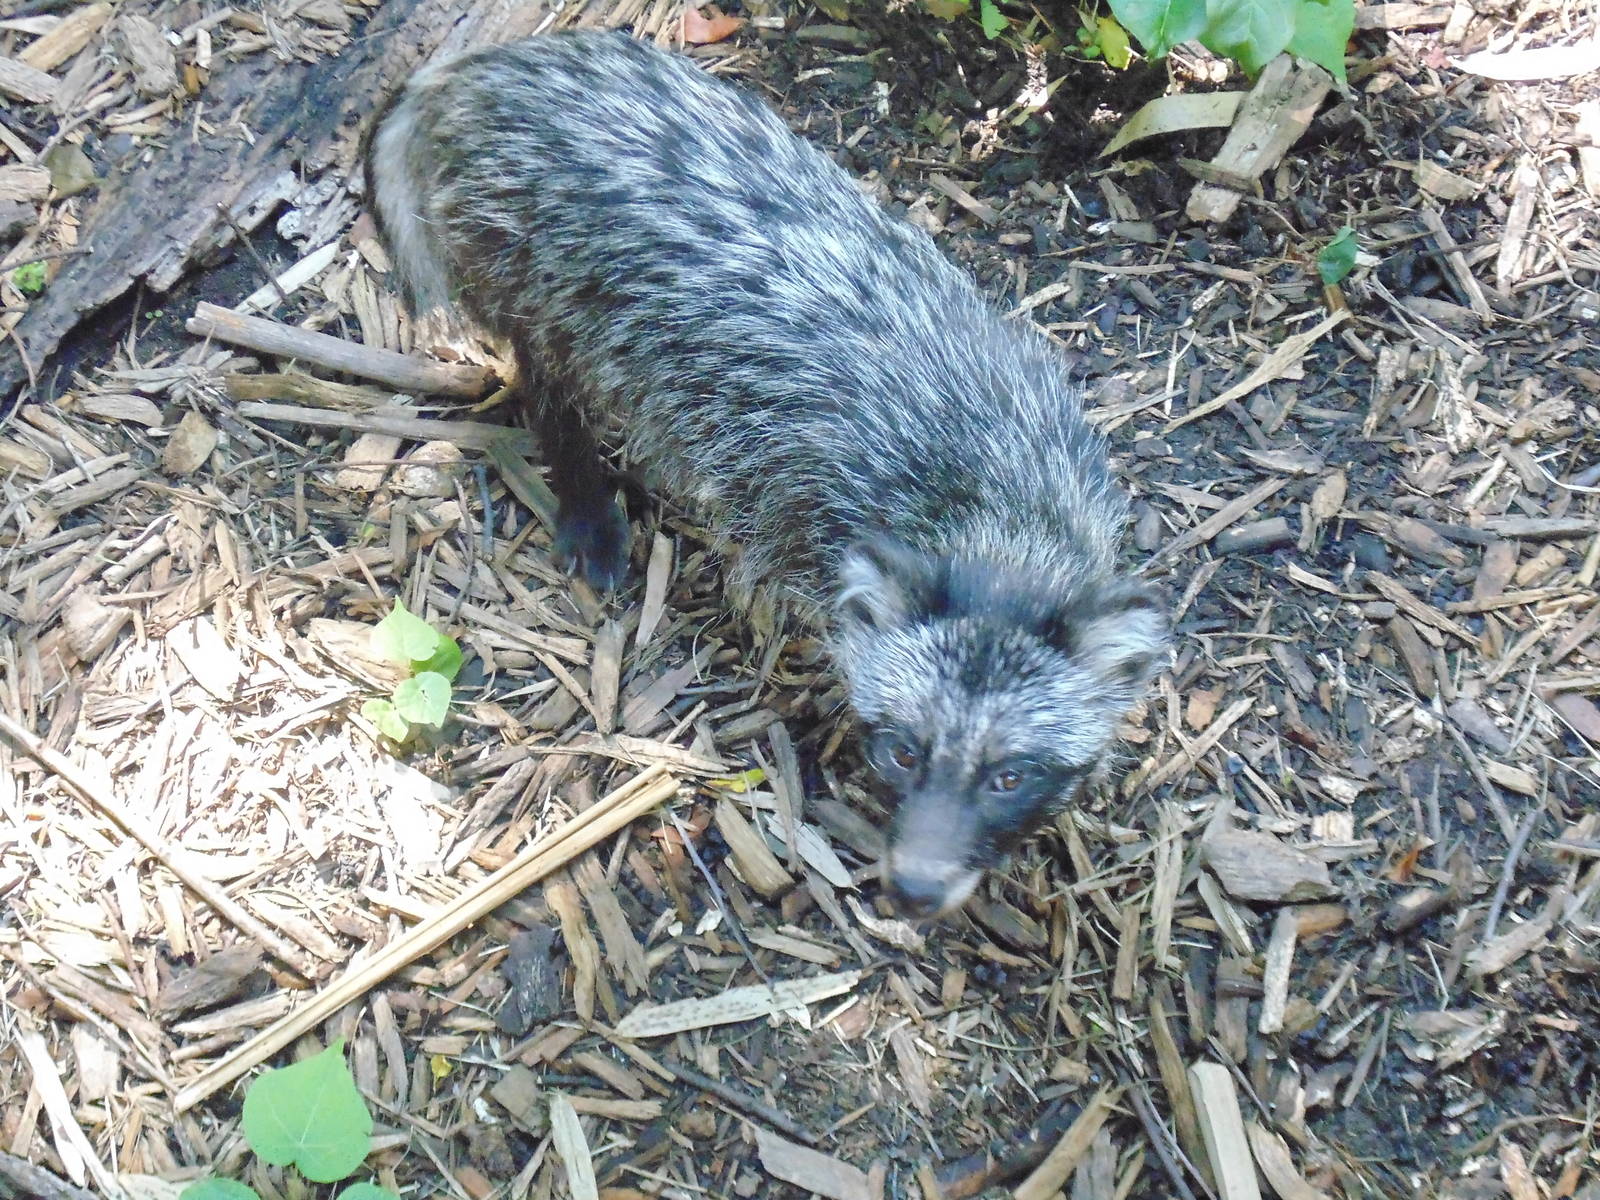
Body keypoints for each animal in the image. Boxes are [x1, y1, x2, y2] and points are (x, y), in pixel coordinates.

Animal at [363, 30, 1167, 918]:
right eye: (902, 752)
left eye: (1011, 777)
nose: (915, 890)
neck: (994, 505)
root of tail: (489, 66)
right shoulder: (791, 517)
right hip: (535, 281)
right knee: (546, 381)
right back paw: (587, 499)